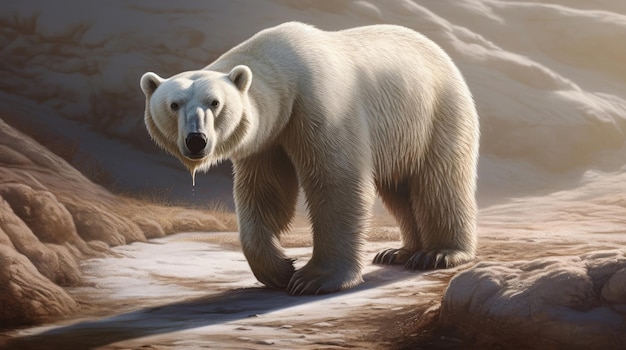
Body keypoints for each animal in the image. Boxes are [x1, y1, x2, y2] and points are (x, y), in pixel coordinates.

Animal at [138, 22, 478, 296]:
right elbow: (265, 192)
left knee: (439, 182)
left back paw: (438, 253)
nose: (196, 139)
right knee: (399, 189)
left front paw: (314, 278)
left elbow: (337, 182)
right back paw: (399, 251)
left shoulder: (319, 106)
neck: (284, 73)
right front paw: (279, 268)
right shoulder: (269, 137)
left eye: (215, 102)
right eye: (174, 104)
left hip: (435, 112)